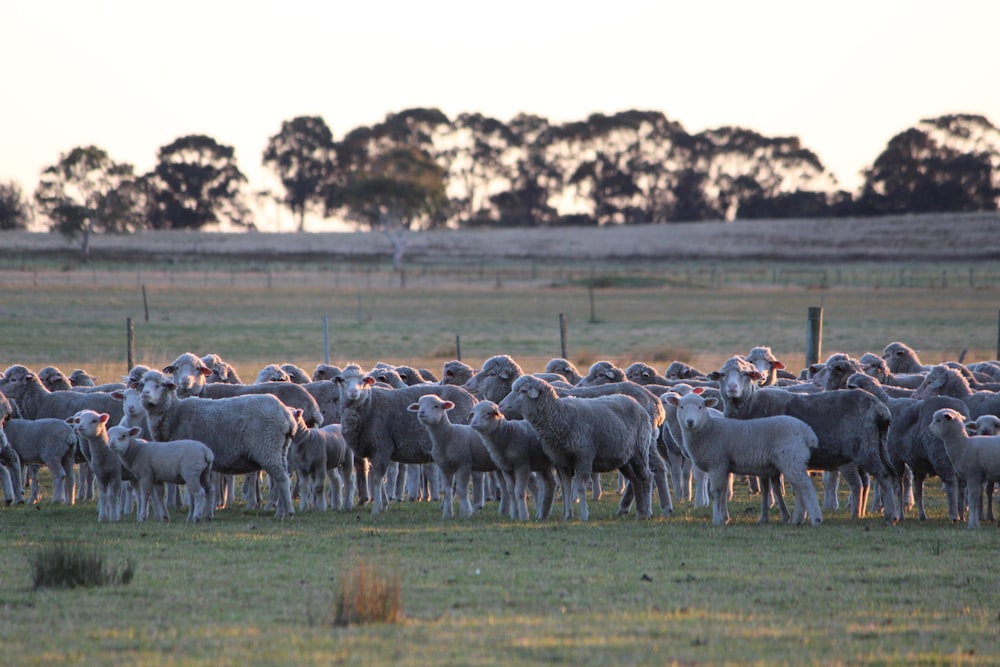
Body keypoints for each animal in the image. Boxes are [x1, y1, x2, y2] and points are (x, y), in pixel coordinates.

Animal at [139, 368, 298, 520]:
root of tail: (286, 415)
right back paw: (281, 512)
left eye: (160, 385)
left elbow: (193, 492)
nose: (145, 394)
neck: (175, 414)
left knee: (282, 480)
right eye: (142, 384)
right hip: (280, 450)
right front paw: (206, 513)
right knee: (282, 480)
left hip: (268, 448)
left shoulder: (189, 460)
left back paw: (288, 512)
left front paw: (196, 514)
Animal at [332, 366, 476, 516]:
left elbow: (377, 479)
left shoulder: (382, 445)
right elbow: (380, 480)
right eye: (342, 380)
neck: (369, 405)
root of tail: (472, 398)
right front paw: (384, 504)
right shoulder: (374, 450)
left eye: (364, 380)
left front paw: (376, 508)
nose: (354, 392)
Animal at [494, 376, 652, 520]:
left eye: (522, 391)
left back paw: (647, 512)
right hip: (625, 458)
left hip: (640, 450)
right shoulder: (561, 461)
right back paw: (640, 512)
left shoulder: (584, 457)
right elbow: (566, 488)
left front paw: (584, 515)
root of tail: (634, 401)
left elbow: (581, 487)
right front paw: (567, 515)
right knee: (636, 481)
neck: (560, 415)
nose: (500, 406)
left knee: (646, 478)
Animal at [664, 392, 820, 528]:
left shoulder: (717, 463)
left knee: (805, 486)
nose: (690, 422)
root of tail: (807, 431)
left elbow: (716, 492)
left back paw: (815, 518)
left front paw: (716, 520)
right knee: (800, 487)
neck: (709, 429)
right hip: (794, 460)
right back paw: (798, 518)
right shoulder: (724, 466)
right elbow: (724, 492)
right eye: (681, 407)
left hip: (791, 458)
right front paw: (725, 518)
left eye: (700, 407)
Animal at [708, 358, 904, 524]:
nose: (732, 388)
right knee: (887, 474)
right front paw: (784, 515)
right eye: (723, 374)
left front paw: (766, 517)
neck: (751, 405)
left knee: (882, 476)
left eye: (746, 374)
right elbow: (775, 487)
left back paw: (888, 517)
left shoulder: (761, 455)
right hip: (879, 446)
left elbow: (766, 487)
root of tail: (881, 409)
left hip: (865, 450)